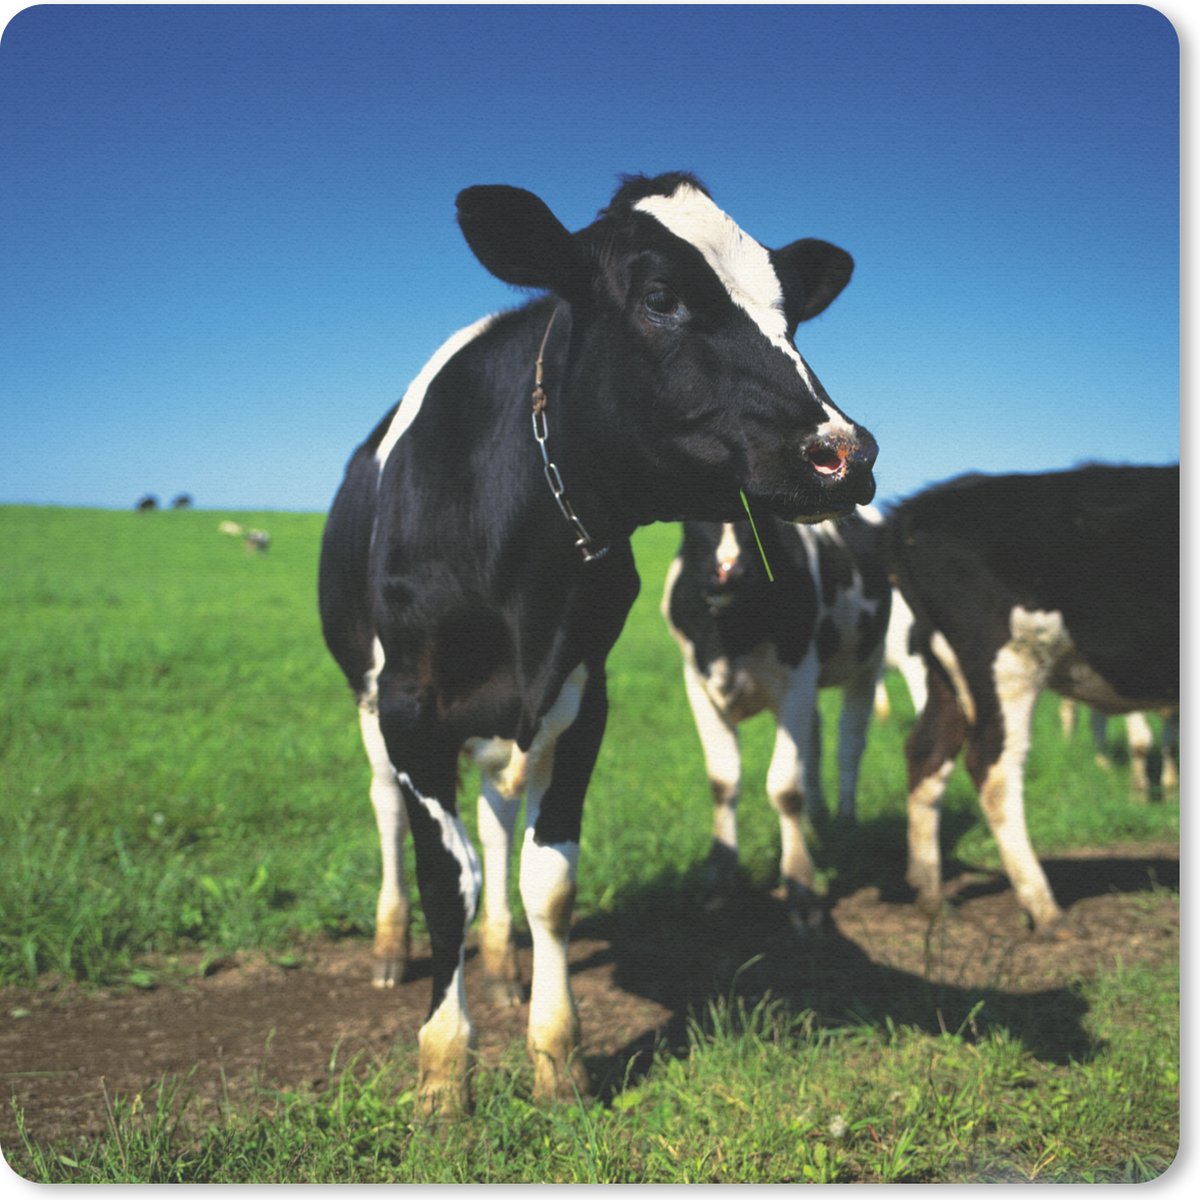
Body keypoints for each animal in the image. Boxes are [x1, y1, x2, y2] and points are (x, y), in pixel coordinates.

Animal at [661, 509, 890, 929]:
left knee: (850, 743)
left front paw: (802, 890)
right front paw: (719, 881)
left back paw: (846, 821)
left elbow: (785, 788)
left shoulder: (797, 679)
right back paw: (819, 819)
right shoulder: (697, 683)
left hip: (868, 663)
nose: (729, 572)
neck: (732, 631)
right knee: (815, 740)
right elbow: (723, 782)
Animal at [886, 464, 1179, 935]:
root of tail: (918, 507)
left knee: (926, 751)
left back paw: (931, 896)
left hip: (945, 670)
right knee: (992, 766)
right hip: (1007, 659)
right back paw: (1044, 908)